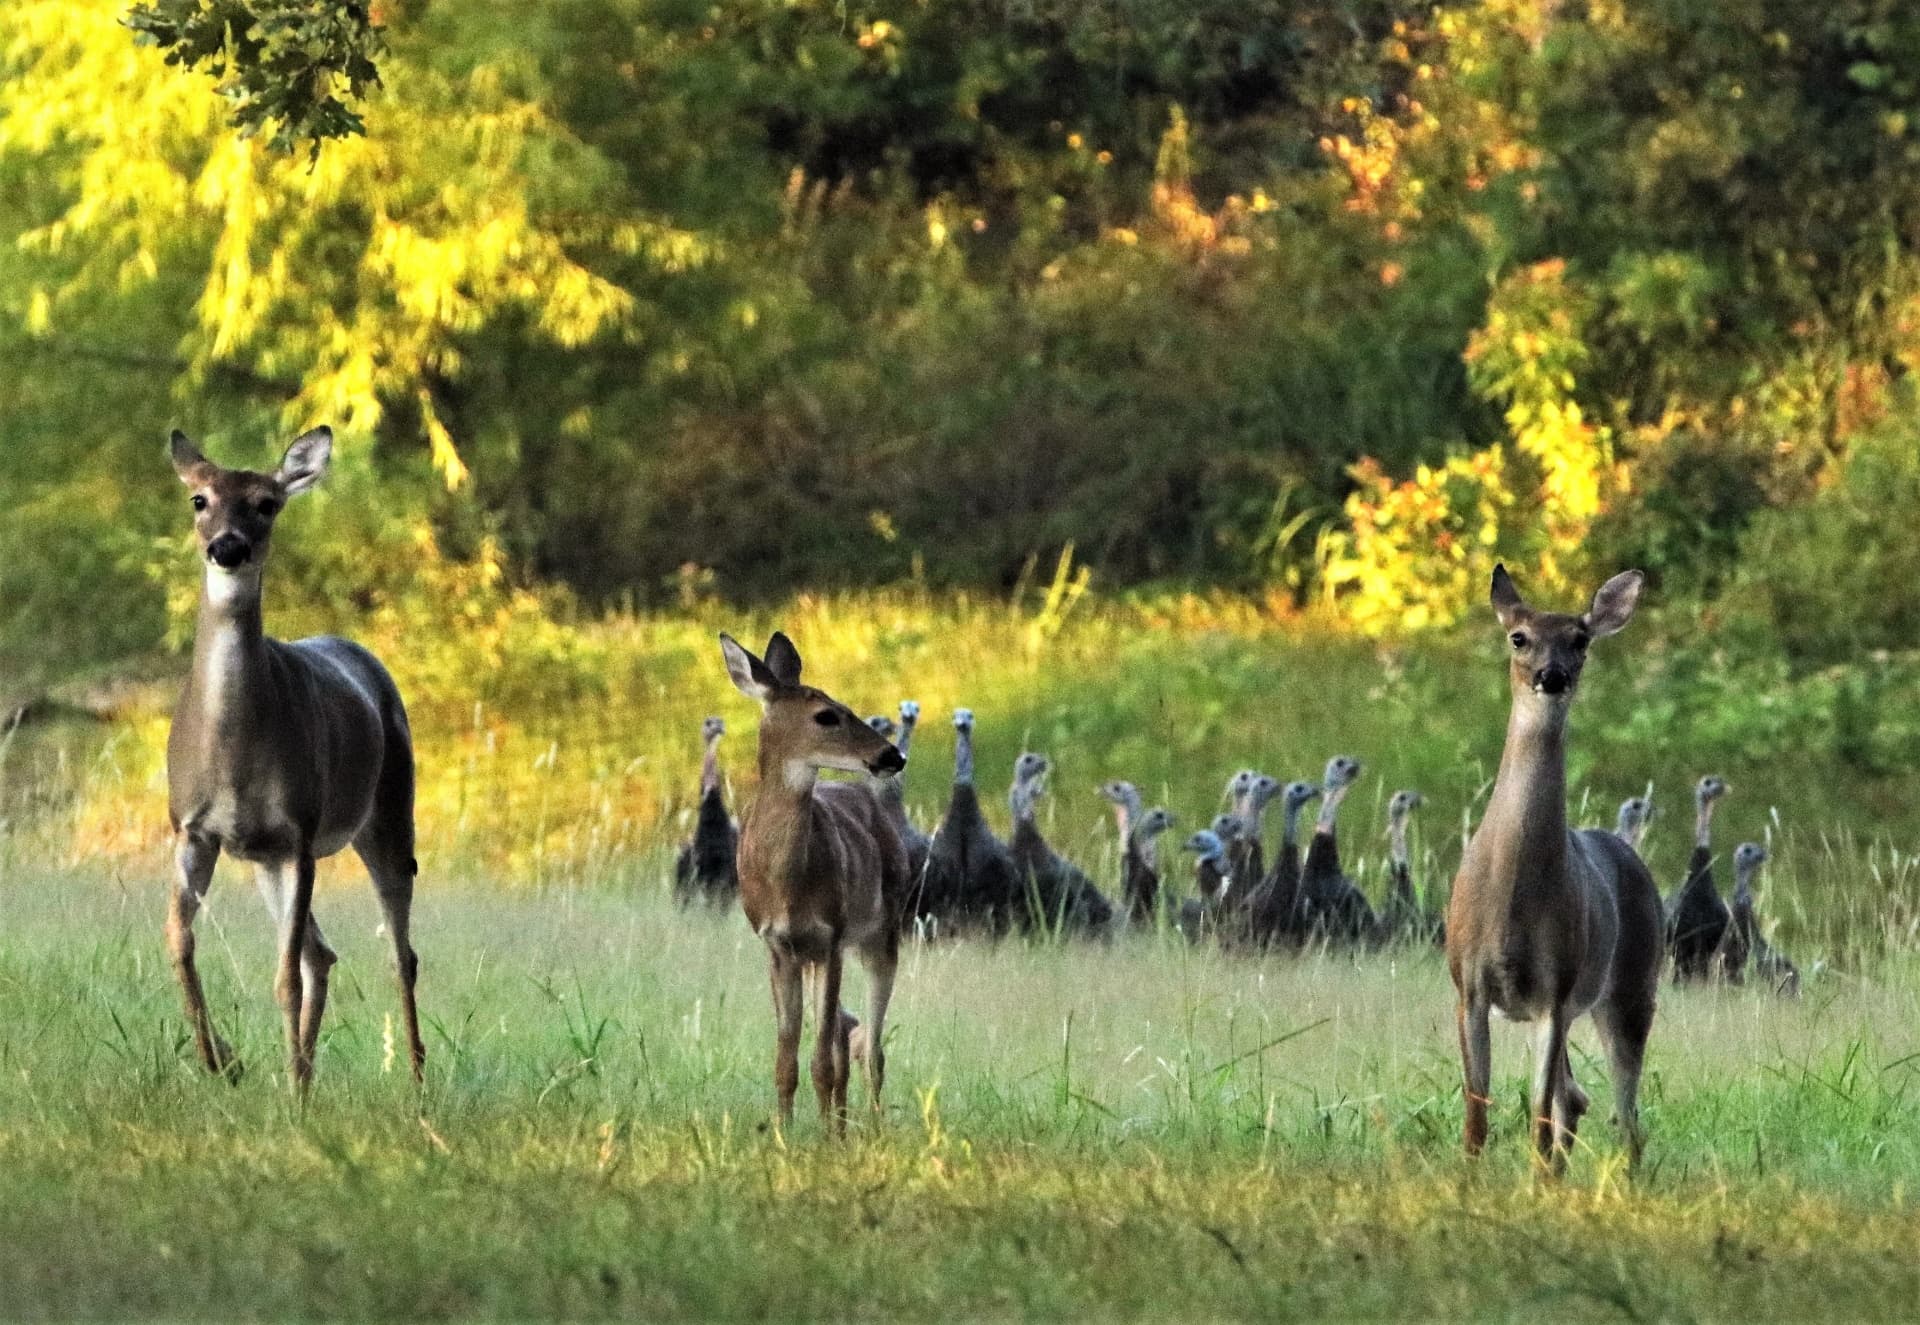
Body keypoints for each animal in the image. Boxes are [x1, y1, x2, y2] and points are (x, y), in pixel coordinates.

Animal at [163, 428, 422, 1090]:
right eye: (199, 499)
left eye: (267, 504)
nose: (228, 547)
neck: (233, 753)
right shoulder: (193, 829)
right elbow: (178, 941)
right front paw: (222, 1062)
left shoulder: (300, 830)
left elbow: (283, 978)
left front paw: (285, 1088)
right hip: (265, 860)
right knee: (321, 955)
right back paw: (301, 1071)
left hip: (387, 814)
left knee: (398, 953)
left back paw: (413, 1079)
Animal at [721, 629, 906, 1121]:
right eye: (826, 715)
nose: (893, 754)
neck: (788, 885)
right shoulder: (778, 945)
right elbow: (786, 1060)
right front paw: (783, 1132)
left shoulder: (831, 936)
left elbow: (821, 1060)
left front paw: (820, 1135)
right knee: (847, 1034)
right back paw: (840, 1124)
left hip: (884, 932)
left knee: (872, 1049)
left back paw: (869, 1128)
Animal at [1443, 560, 1658, 1175]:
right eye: (1519, 637)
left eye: (1580, 639)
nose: (1551, 674)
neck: (1511, 895)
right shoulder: (1468, 984)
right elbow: (1477, 1111)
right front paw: (1468, 1178)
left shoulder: (1555, 990)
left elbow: (1537, 1112)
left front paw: (1535, 1183)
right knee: (1577, 1098)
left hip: (1633, 985)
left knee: (1623, 1113)